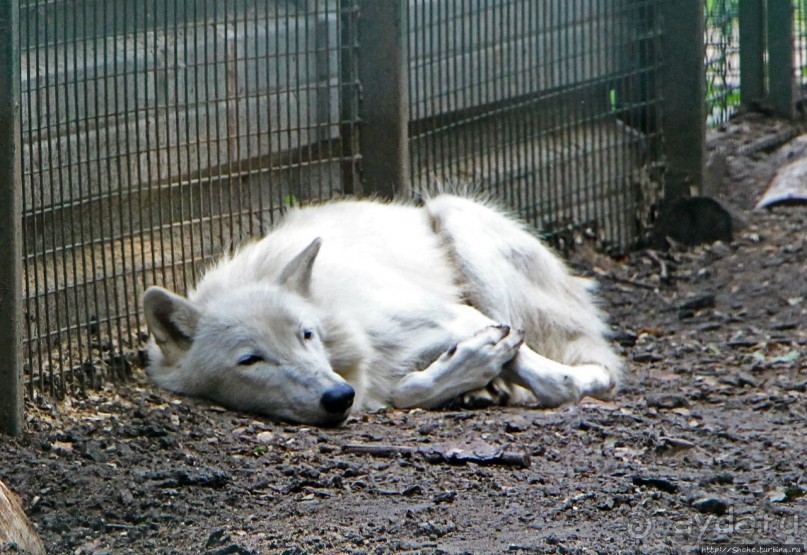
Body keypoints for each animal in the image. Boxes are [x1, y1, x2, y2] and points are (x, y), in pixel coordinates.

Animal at [144, 193, 624, 428]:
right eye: (250, 360)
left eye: (306, 335)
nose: (337, 397)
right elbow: (406, 392)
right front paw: (465, 370)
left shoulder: (463, 317)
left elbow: (552, 380)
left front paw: (580, 383)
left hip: (457, 221)